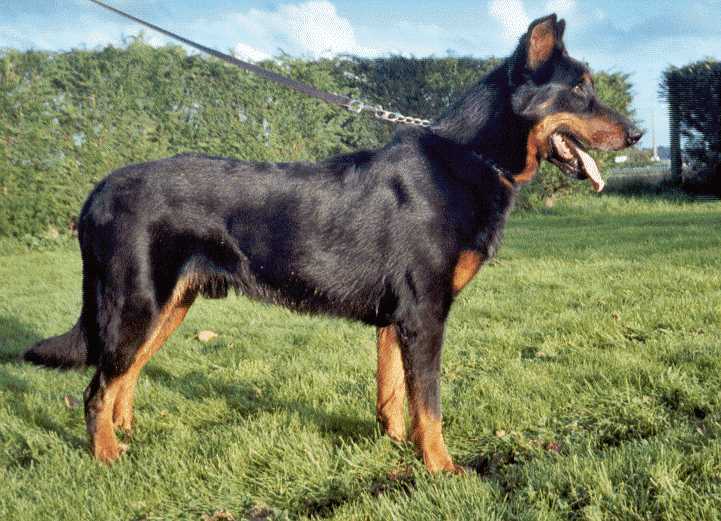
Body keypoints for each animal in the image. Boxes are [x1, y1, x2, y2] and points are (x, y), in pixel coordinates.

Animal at [23, 15, 640, 472]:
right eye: (580, 89)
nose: (637, 134)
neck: (471, 158)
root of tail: (97, 191)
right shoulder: (424, 315)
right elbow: (430, 404)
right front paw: (442, 469)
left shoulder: (397, 321)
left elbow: (395, 396)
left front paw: (398, 447)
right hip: (137, 303)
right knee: (97, 388)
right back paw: (106, 456)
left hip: (169, 306)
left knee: (123, 376)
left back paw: (125, 436)